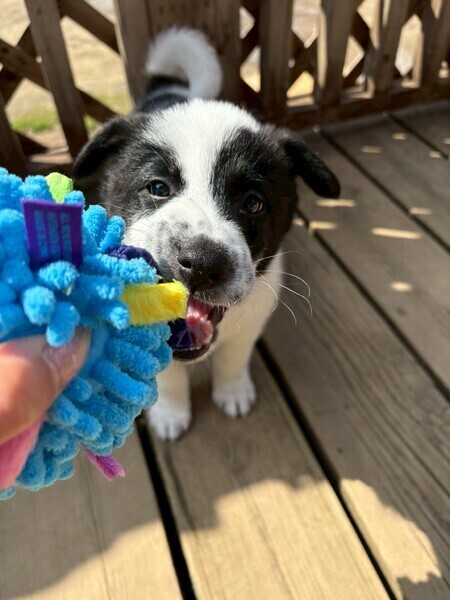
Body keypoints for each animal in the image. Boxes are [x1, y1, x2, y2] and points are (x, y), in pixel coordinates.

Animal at [73, 28, 340, 440]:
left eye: (253, 203)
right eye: (158, 187)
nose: (200, 265)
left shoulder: (251, 320)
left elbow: (233, 358)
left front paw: (232, 392)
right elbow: (166, 377)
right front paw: (170, 413)